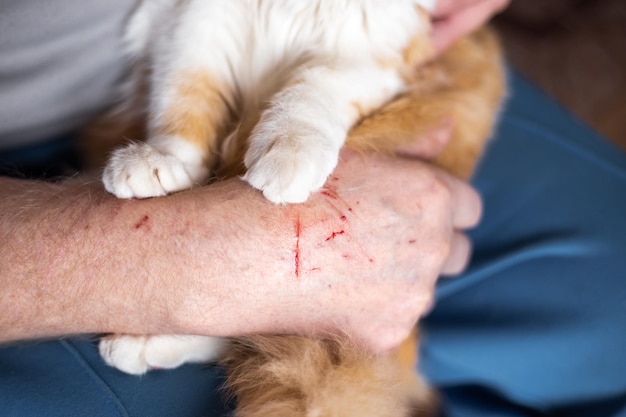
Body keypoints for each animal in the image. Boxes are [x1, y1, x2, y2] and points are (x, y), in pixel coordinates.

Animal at [88, 0, 504, 414]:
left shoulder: (369, 49)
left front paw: (291, 143)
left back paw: (145, 342)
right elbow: (183, 99)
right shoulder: (197, 23)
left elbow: (313, 89)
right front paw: (162, 158)